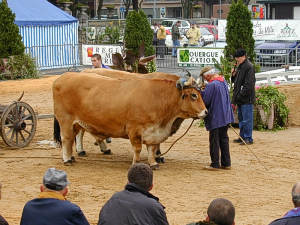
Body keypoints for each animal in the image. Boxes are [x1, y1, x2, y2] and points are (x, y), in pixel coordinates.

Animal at [52, 71, 206, 168]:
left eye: (200, 93)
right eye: (193, 95)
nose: (206, 112)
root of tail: (63, 77)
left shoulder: (153, 132)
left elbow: (151, 148)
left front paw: (153, 163)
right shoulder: (135, 129)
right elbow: (138, 149)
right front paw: (137, 163)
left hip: (77, 122)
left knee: (75, 136)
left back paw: (74, 155)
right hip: (65, 120)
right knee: (67, 139)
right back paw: (67, 159)